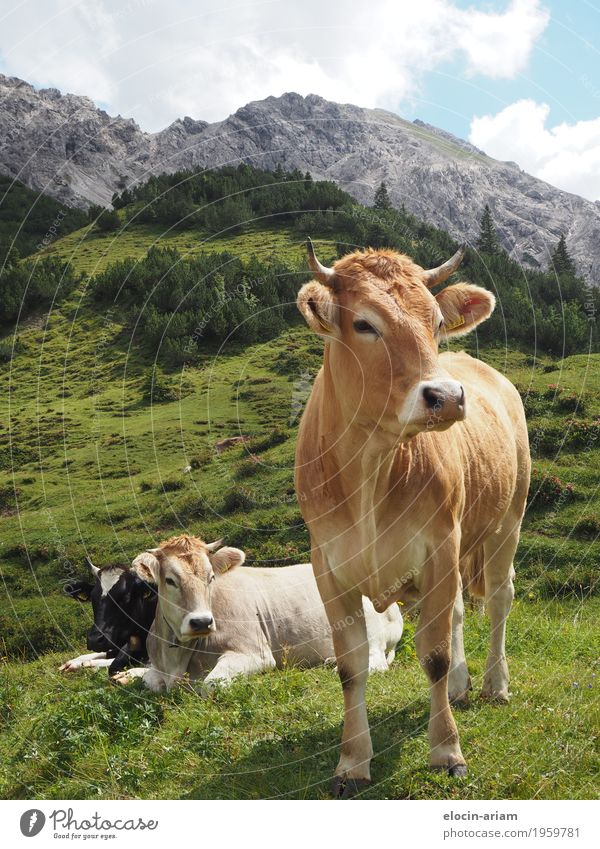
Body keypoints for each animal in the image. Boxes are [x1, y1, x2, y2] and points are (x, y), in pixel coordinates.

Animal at [61, 536, 404, 688]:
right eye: (169, 580)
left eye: (211, 576)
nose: (200, 621)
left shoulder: (254, 653)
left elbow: (210, 683)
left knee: (374, 660)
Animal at [296, 238, 528, 796]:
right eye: (364, 324)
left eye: (437, 322)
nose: (446, 396)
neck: (371, 468)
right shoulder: (327, 566)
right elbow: (351, 667)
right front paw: (352, 761)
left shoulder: (440, 546)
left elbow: (434, 656)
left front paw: (446, 751)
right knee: (462, 610)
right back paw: (465, 685)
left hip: (508, 519)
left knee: (499, 599)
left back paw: (494, 683)